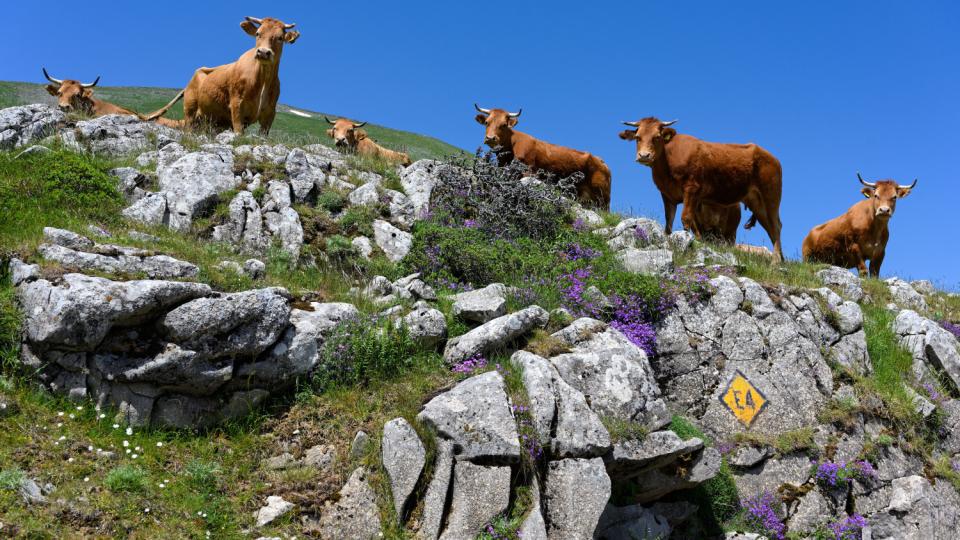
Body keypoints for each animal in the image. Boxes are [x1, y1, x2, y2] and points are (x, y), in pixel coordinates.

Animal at [474, 104, 616, 210]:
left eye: (504, 124)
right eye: (486, 122)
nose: (490, 138)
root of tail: (602, 162)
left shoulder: (528, 171)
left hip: (603, 198)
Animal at [620, 117, 784, 262]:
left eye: (657, 137)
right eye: (638, 137)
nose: (644, 155)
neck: (668, 164)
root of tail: (771, 156)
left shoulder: (691, 189)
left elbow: (686, 218)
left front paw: (685, 242)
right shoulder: (667, 194)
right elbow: (669, 221)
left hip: (771, 196)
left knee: (776, 226)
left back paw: (775, 261)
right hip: (756, 202)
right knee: (770, 228)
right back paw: (780, 261)